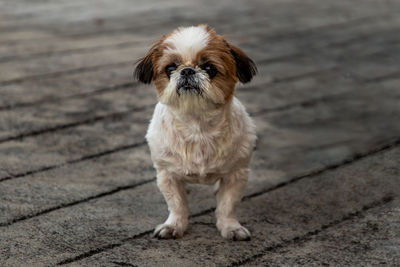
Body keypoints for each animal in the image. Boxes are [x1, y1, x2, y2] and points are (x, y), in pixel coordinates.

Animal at [134, 25, 256, 242]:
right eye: (170, 68)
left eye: (209, 69)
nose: (187, 70)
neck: (197, 127)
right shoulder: (167, 174)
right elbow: (177, 204)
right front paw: (173, 225)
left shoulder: (236, 174)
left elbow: (227, 205)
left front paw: (231, 227)